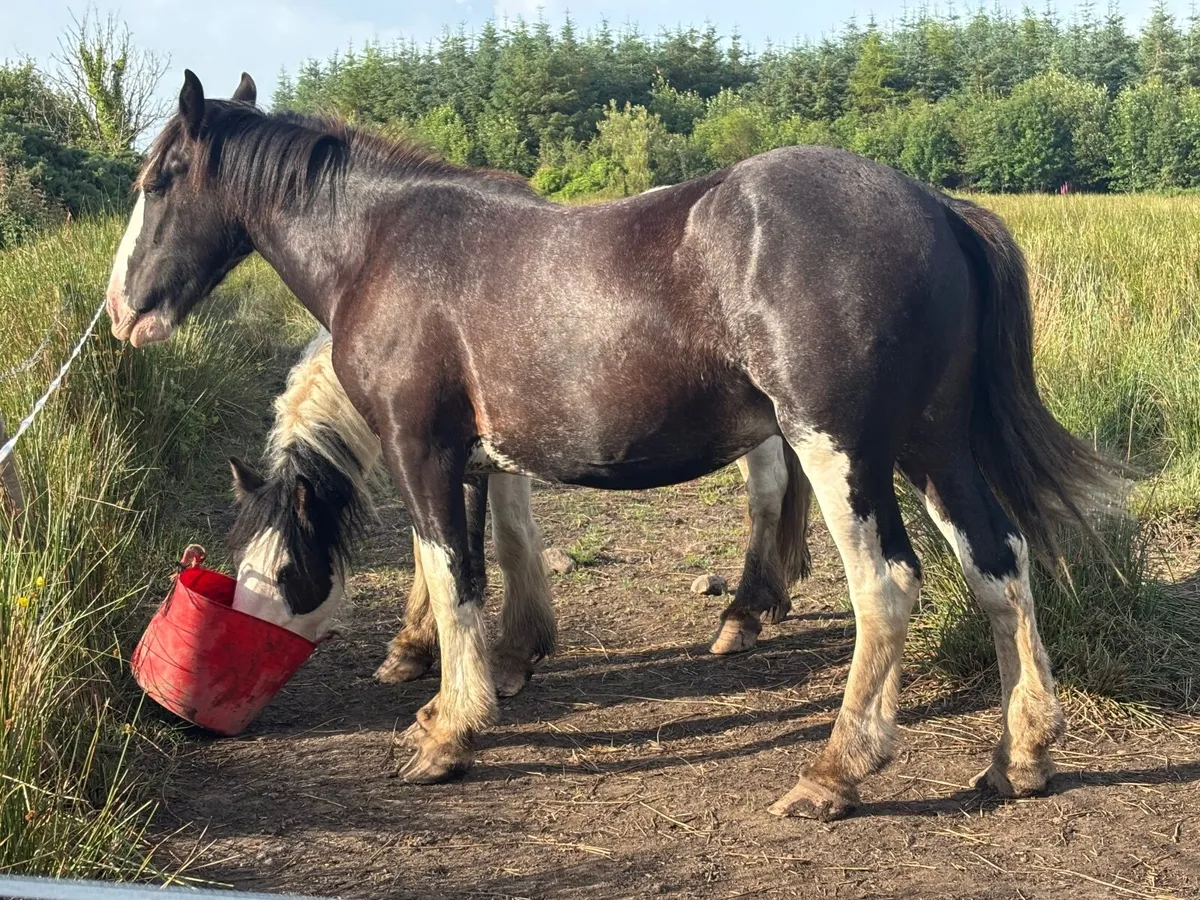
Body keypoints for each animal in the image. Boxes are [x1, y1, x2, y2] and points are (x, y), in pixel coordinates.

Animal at [225, 327, 811, 681]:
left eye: (288, 572)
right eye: (242, 566)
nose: (250, 648)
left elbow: (499, 541)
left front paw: (508, 654)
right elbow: (433, 550)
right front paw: (414, 647)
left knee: (767, 494)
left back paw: (741, 617)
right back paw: (772, 602)